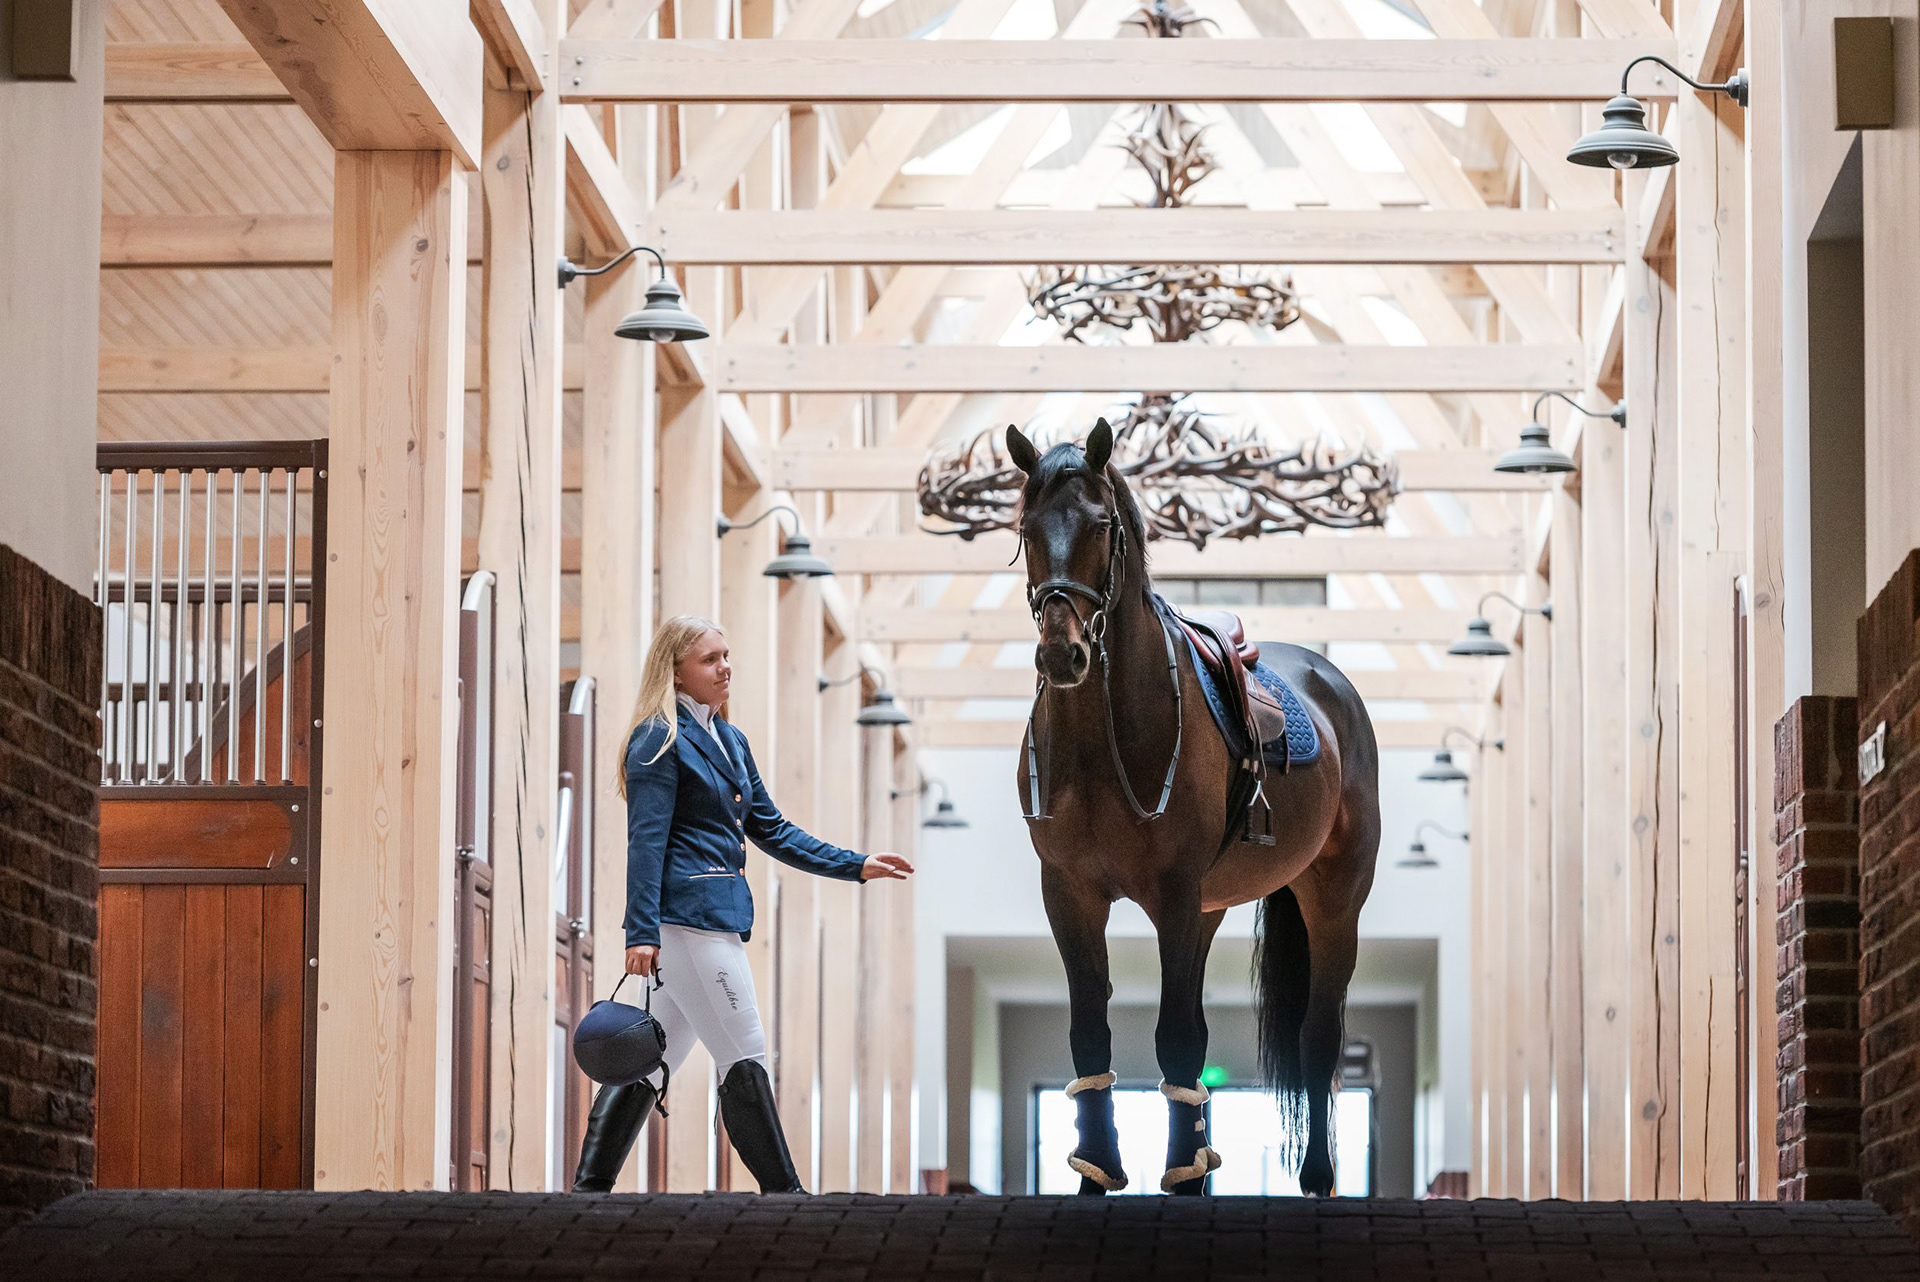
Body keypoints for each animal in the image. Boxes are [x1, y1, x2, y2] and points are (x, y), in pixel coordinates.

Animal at [1007, 418, 1381, 1197]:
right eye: (1027, 526)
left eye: (1101, 524)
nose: (1062, 653)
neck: (1104, 736)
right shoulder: (1071, 892)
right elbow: (1091, 1029)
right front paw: (1098, 1171)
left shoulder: (1173, 893)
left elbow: (1176, 1035)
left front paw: (1178, 1175)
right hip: (1210, 909)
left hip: (1331, 899)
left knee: (1319, 1035)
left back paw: (1317, 1178)